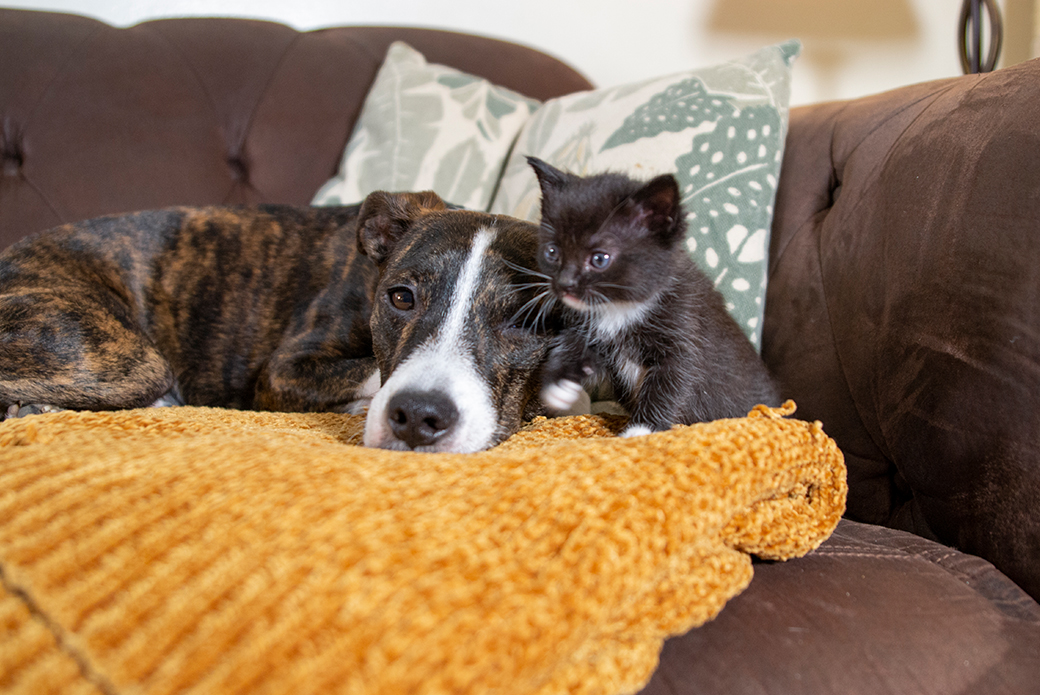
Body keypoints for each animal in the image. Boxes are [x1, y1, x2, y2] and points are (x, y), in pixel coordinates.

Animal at [528, 159, 782, 436]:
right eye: (552, 252)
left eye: (599, 259)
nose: (564, 284)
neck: (619, 309)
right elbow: (572, 345)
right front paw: (560, 384)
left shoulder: (684, 330)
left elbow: (668, 385)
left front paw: (641, 430)